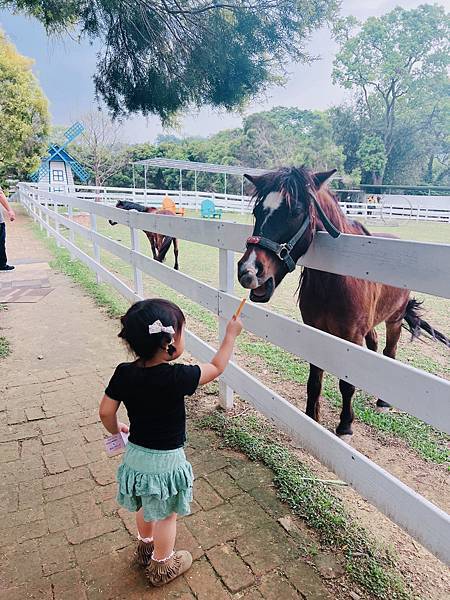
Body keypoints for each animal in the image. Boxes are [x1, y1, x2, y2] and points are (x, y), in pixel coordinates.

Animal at [237, 166, 448, 438]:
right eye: (257, 212)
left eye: (295, 212)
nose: (248, 271)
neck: (334, 281)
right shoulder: (316, 329)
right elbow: (315, 379)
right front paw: (311, 415)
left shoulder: (351, 335)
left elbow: (346, 384)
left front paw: (345, 424)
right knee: (374, 345)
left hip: (394, 320)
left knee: (389, 352)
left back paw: (383, 401)